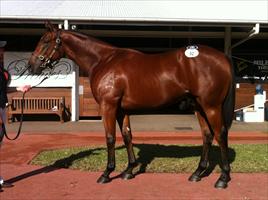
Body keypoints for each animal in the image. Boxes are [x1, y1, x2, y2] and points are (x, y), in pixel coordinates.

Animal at [28, 22, 234, 189]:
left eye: (45, 41)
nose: (31, 67)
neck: (104, 60)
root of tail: (223, 57)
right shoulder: (122, 110)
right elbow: (127, 136)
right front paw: (129, 170)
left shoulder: (108, 106)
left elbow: (110, 137)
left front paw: (107, 173)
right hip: (199, 106)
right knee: (207, 135)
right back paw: (197, 173)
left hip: (211, 106)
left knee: (220, 134)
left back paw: (223, 178)